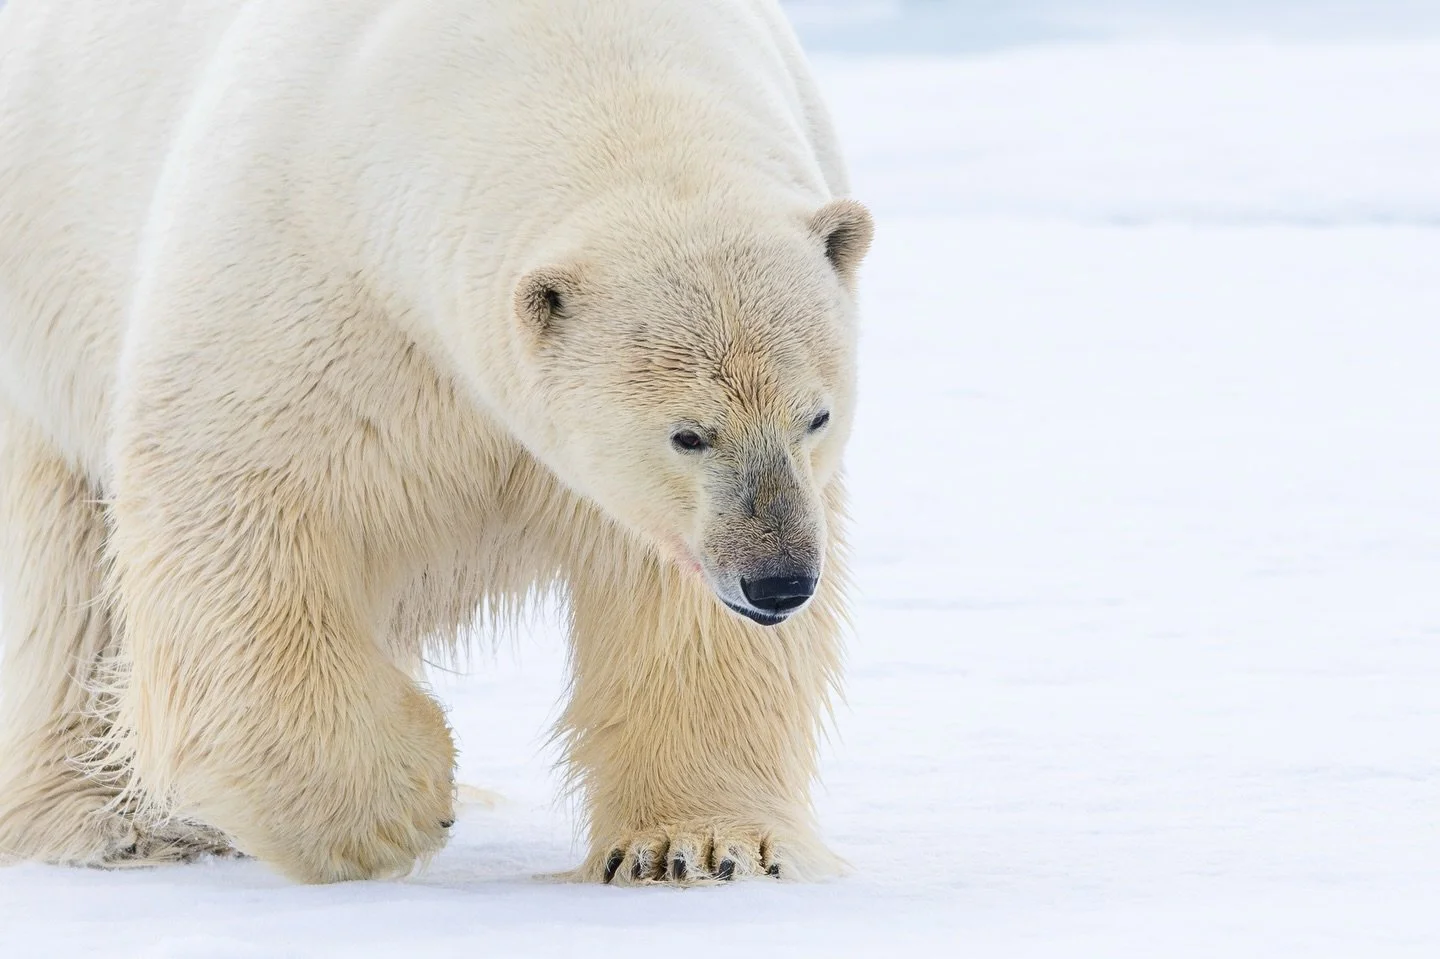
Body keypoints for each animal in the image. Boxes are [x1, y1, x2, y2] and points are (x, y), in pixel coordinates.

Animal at [0, 0, 872, 884]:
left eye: (816, 416)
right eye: (686, 434)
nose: (779, 580)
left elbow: (673, 600)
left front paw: (696, 844)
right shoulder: (310, 272)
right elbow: (239, 518)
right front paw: (399, 805)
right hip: (51, 304)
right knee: (77, 588)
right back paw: (115, 821)